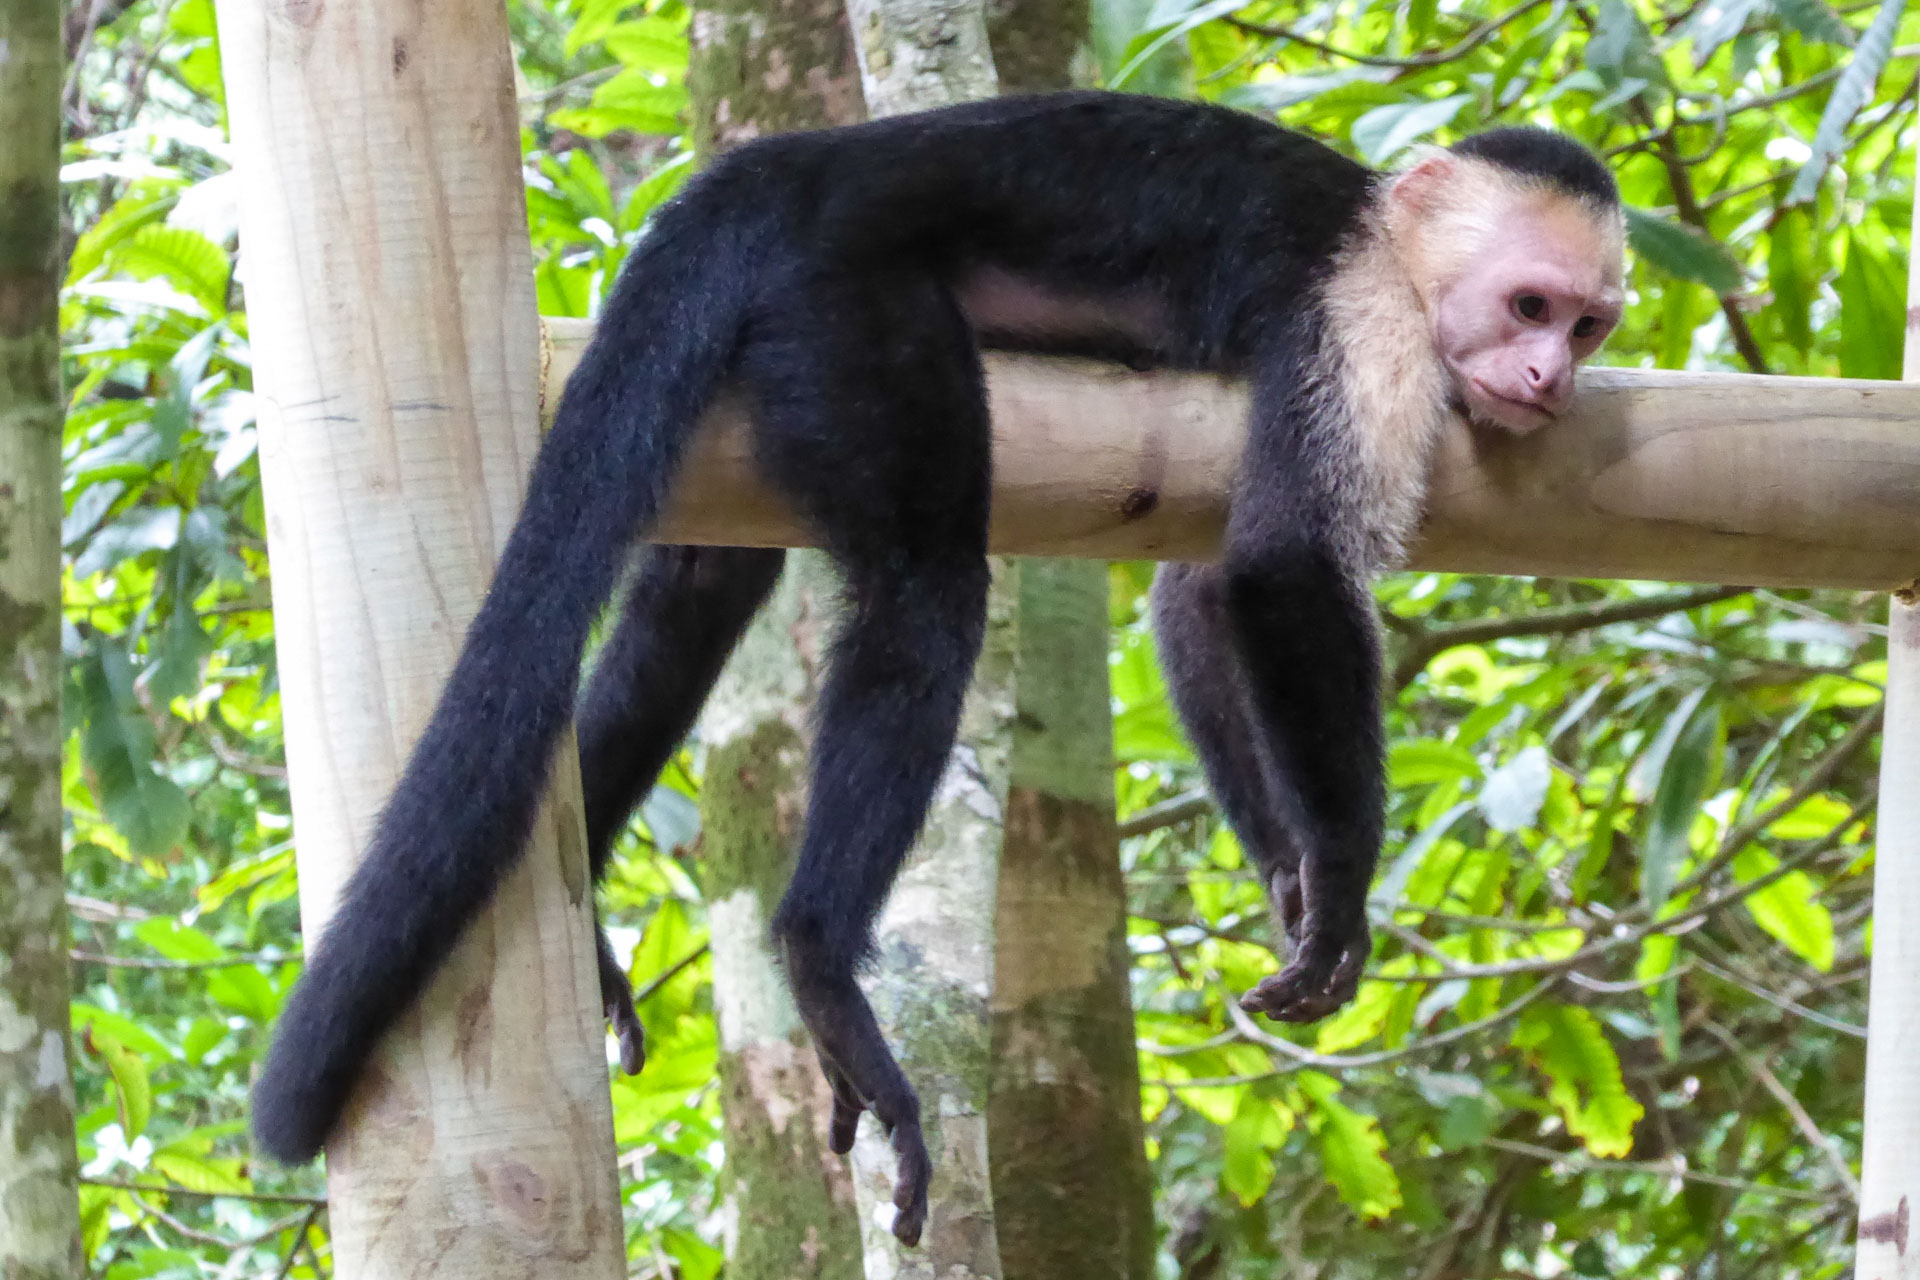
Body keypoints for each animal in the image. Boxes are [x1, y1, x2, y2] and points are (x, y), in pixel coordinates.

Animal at [248, 91, 1625, 1245]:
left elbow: (1198, 594)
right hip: (846, 303)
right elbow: (1281, 566)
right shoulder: (1365, 315)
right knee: (926, 587)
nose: (1553, 379)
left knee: (695, 595)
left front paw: (1288, 876)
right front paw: (1336, 882)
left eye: (1589, 322)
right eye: (1530, 307)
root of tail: (789, 164)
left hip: (753, 380)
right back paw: (818, 958)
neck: (1394, 241)